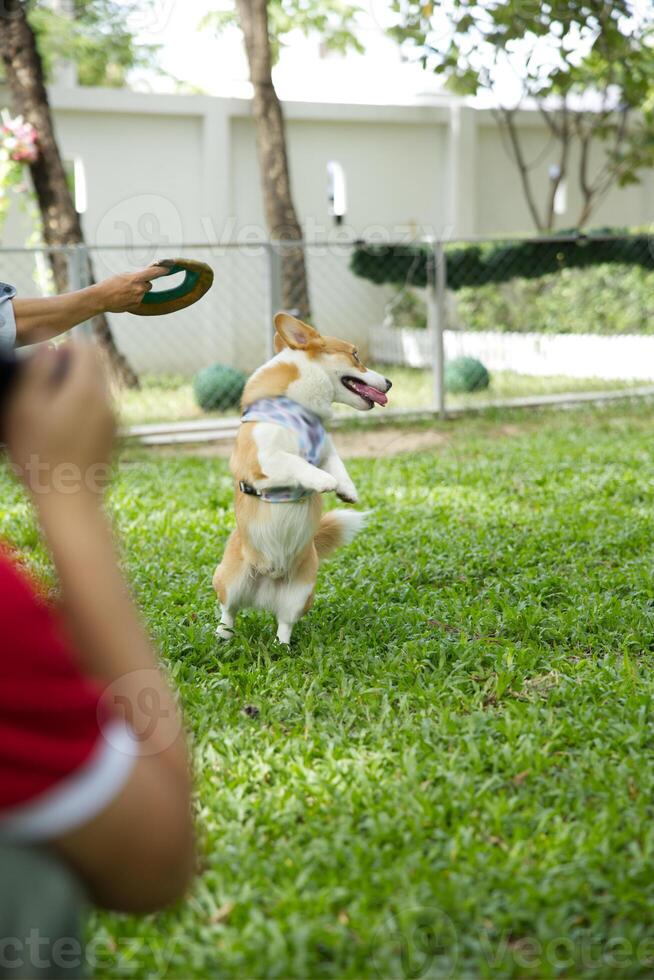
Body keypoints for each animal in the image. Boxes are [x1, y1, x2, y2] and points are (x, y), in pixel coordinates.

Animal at [213, 314, 392, 648]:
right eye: (356, 355)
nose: (389, 382)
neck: (302, 410)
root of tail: (266, 590)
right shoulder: (263, 459)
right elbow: (296, 461)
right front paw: (322, 481)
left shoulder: (326, 448)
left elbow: (338, 464)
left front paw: (347, 490)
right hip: (230, 579)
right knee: (229, 610)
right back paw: (223, 636)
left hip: (301, 592)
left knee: (284, 622)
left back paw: (281, 647)